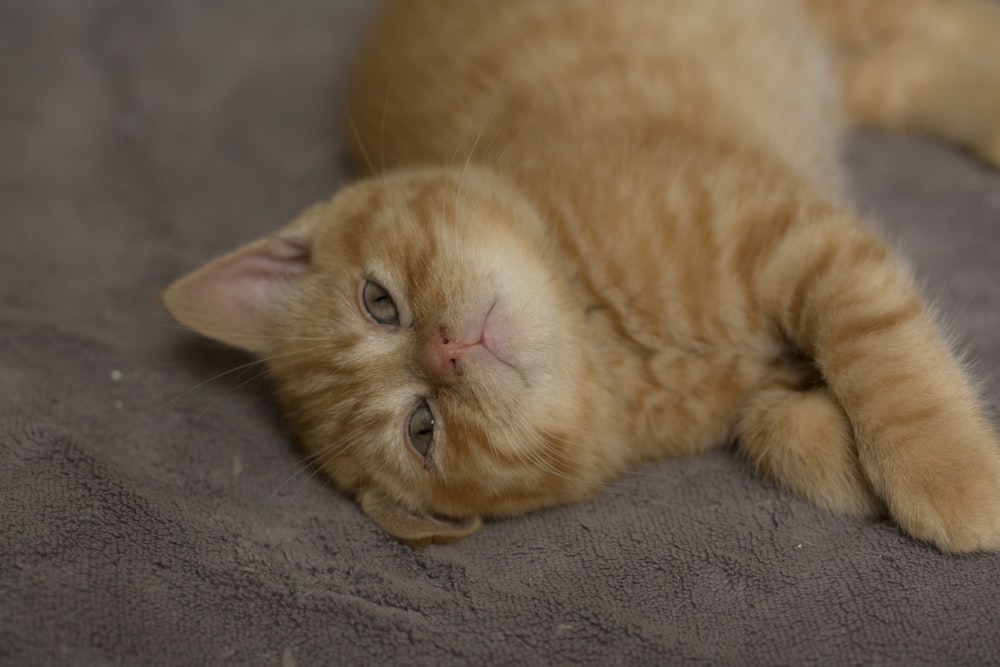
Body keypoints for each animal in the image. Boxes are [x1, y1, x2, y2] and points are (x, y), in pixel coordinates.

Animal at [162, 0, 1000, 552]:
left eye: (379, 302)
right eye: (422, 428)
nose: (445, 352)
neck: (606, 331)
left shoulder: (797, 233)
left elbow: (880, 349)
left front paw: (952, 477)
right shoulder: (760, 364)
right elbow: (776, 428)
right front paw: (863, 471)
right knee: (911, 64)